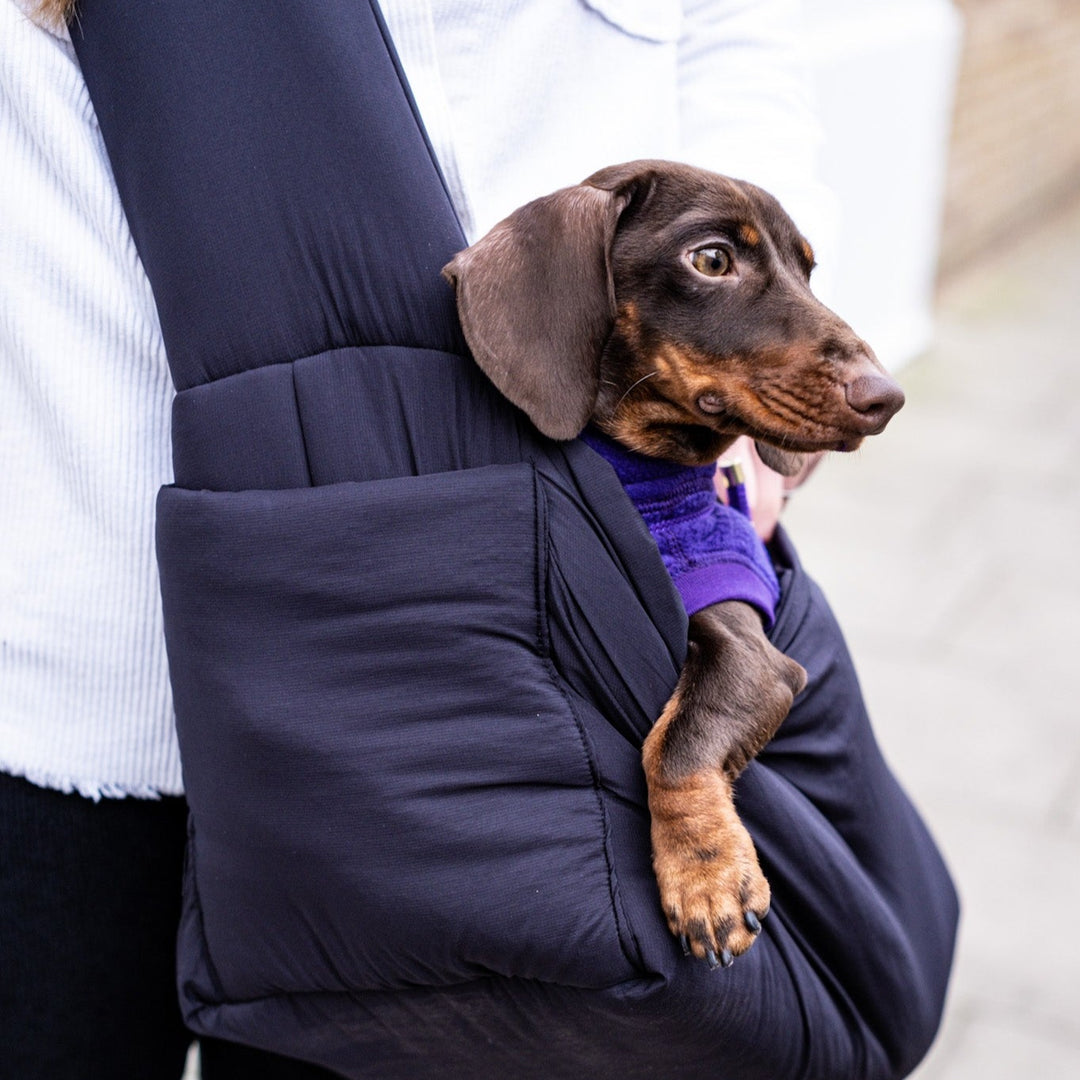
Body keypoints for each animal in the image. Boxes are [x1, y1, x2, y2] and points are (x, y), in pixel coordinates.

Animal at [440, 157, 902, 972]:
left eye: (808, 270)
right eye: (711, 259)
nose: (886, 397)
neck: (648, 479)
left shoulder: (752, 652)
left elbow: (675, 743)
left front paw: (706, 875)